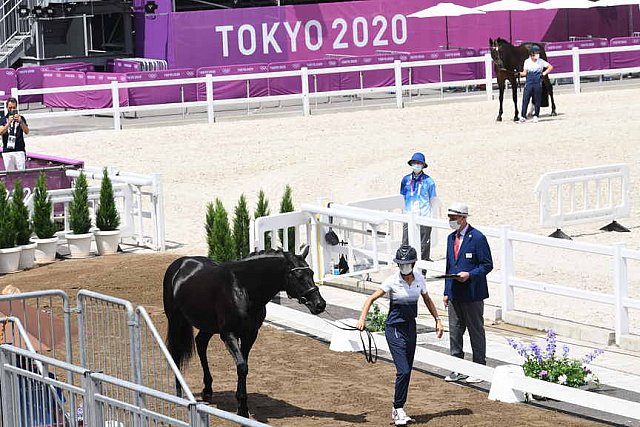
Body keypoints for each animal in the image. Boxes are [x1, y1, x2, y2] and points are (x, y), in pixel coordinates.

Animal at [162, 247, 328, 418]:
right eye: (298, 276)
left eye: (312, 273)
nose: (319, 304)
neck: (242, 288)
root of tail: (180, 264)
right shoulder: (228, 334)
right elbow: (241, 366)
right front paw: (242, 408)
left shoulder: (250, 334)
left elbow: (244, 367)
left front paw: (242, 405)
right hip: (176, 321)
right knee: (176, 352)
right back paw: (178, 392)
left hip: (208, 326)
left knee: (201, 343)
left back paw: (207, 390)